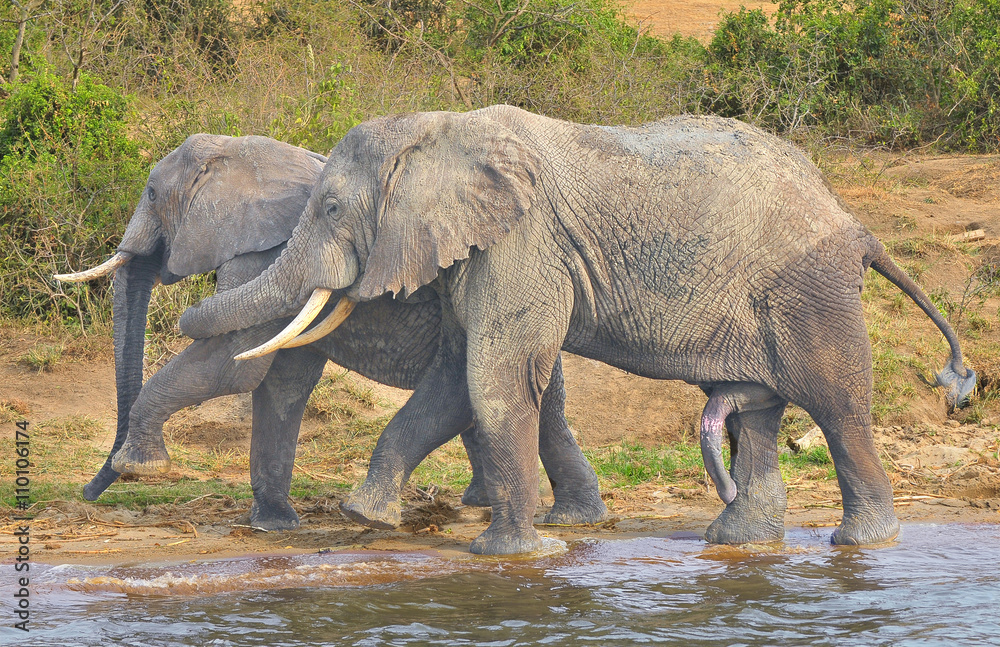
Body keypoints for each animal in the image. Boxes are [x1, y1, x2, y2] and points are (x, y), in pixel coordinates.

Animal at [55, 133, 607, 531]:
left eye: (151, 194)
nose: (88, 495)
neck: (248, 154)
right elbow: (282, 383)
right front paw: (274, 527)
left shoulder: (263, 255)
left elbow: (232, 365)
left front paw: (141, 467)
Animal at [177, 105, 976, 554]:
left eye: (334, 208)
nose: (182, 300)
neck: (439, 127)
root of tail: (853, 220)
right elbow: (456, 377)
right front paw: (366, 517)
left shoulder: (523, 242)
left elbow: (495, 377)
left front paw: (511, 556)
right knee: (756, 412)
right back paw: (738, 541)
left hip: (809, 292)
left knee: (838, 406)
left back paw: (863, 543)